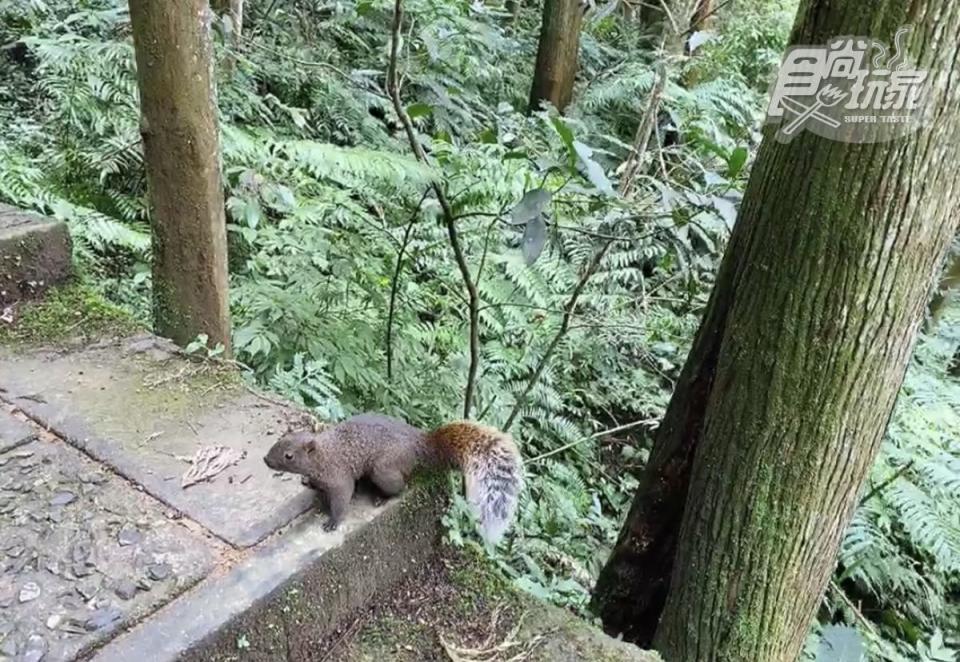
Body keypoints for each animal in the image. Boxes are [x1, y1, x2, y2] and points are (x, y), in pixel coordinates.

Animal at [260, 416, 524, 544]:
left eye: (289, 455)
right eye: (279, 441)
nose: (265, 459)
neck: (323, 454)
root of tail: (420, 444)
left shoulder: (339, 476)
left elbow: (342, 498)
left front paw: (332, 522)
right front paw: (307, 482)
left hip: (383, 470)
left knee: (401, 487)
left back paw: (380, 498)